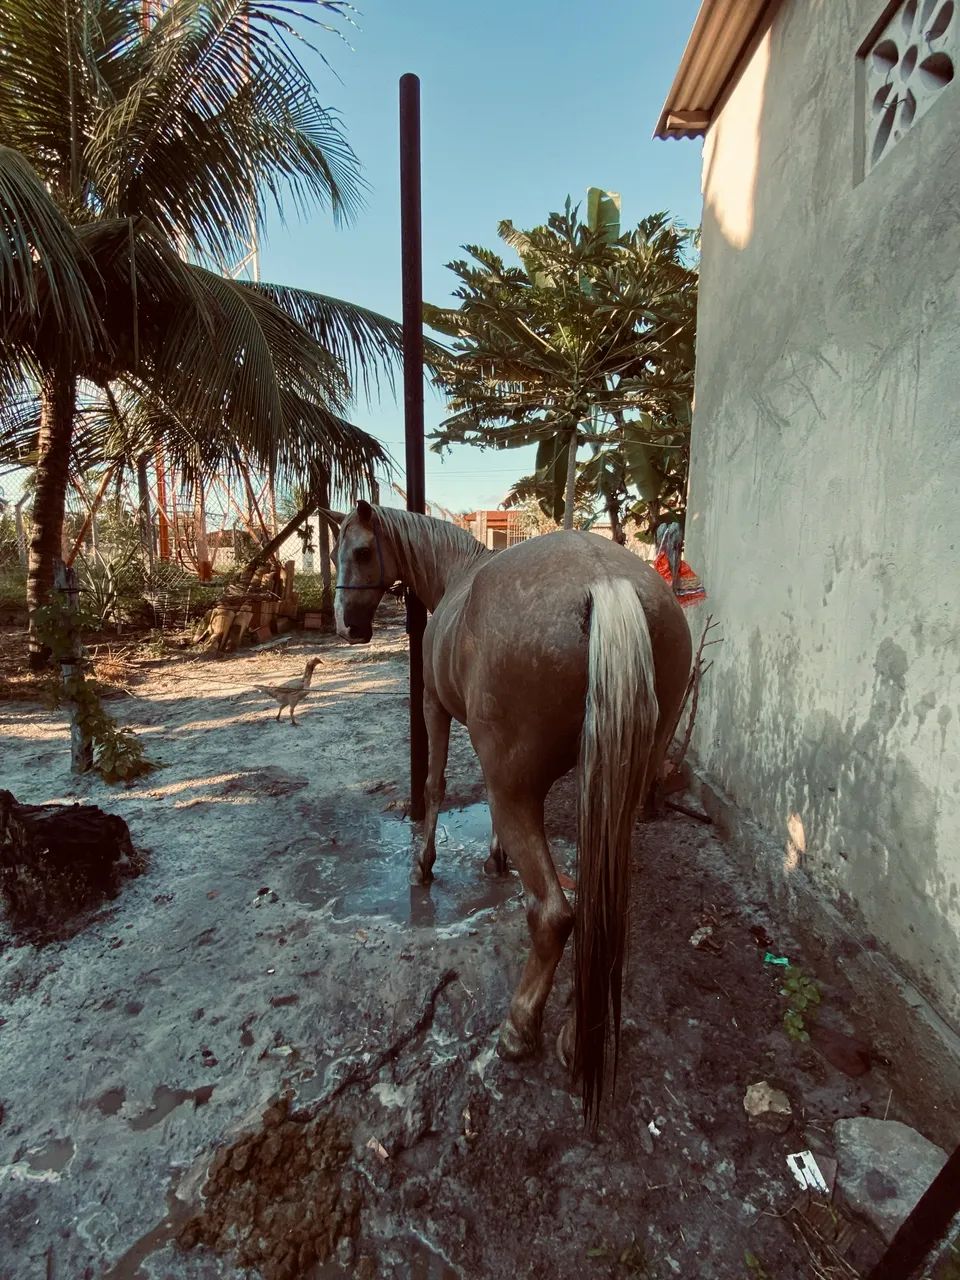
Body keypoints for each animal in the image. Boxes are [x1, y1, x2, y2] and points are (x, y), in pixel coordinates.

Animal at [329, 501, 692, 1119]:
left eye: (359, 550)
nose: (347, 625)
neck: (455, 576)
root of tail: (605, 582)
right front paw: (495, 857)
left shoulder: (434, 707)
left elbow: (435, 784)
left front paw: (423, 864)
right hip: (613, 794)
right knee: (599, 911)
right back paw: (577, 1035)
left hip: (519, 788)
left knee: (554, 915)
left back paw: (521, 1029)